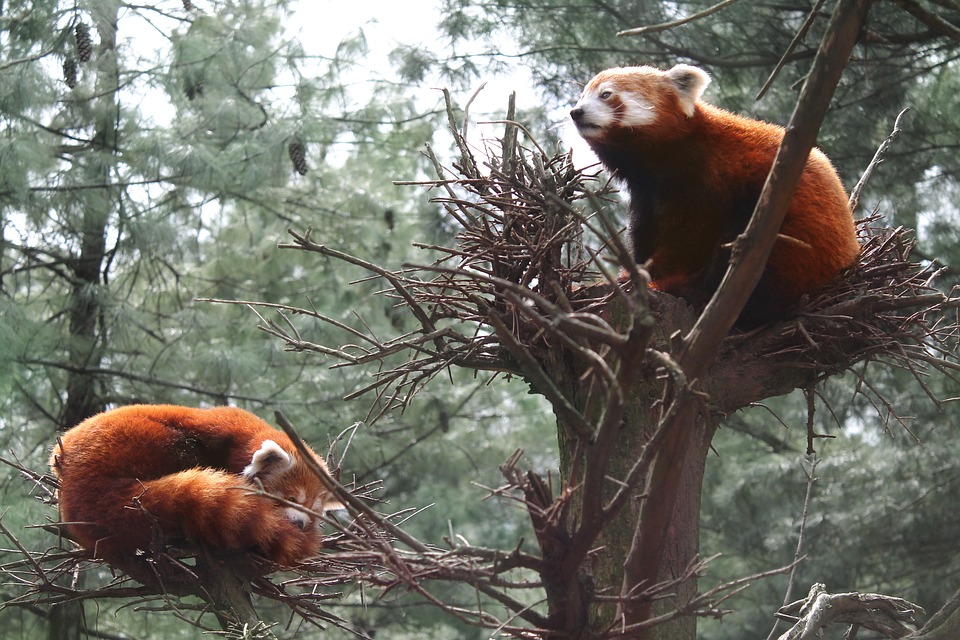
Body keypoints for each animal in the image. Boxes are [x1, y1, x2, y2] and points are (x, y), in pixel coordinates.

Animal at [568, 63, 864, 324]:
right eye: (582, 96)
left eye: (606, 94)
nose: (576, 112)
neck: (665, 160)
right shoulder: (649, 192)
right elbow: (647, 234)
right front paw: (634, 273)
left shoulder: (729, 178)